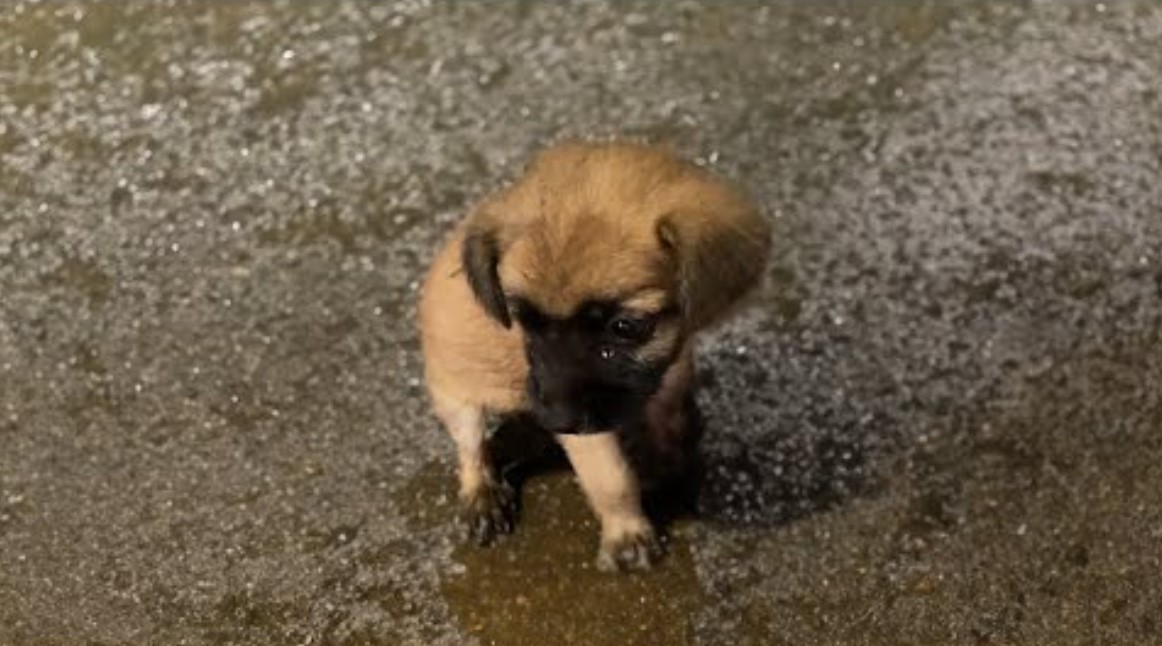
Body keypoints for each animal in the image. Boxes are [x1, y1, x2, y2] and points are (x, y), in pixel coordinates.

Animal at [420, 141, 771, 569]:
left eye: (625, 327)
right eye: (523, 319)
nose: (553, 419)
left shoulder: (669, 374)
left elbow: (668, 413)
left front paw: (669, 451)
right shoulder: (589, 431)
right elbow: (612, 478)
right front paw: (627, 533)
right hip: (456, 397)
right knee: (471, 449)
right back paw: (482, 495)